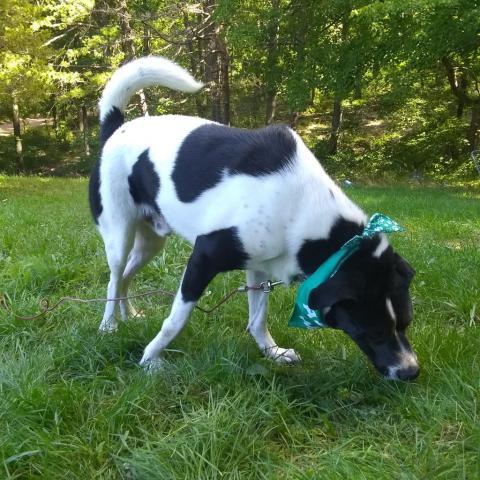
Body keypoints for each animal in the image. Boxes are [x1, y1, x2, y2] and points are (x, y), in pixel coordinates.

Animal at [90, 57, 420, 378]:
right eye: (373, 333)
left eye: (406, 323)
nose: (411, 372)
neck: (301, 205)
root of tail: (115, 129)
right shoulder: (202, 259)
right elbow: (176, 320)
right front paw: (150, 359)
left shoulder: (261, 265)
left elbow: (258, 319)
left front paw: (272, 352)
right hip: (119, 233)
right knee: (114, 279)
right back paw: (109, 325)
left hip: (151, 241)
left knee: (126, 276)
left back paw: (129, 315)